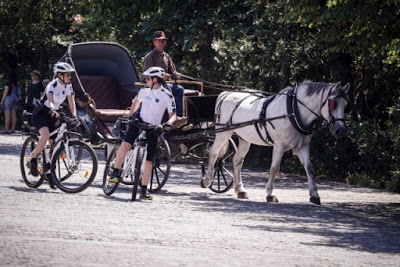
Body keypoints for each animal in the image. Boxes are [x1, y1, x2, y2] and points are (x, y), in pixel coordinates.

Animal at [202, 81, 348, 205]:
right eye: (333, 103)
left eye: (346, 105)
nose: (340, 130)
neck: (293, 111)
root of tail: (226, 94)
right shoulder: (279, 146)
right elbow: (274, 169)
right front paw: (270, 194)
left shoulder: (302, 147)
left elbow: (310, 169)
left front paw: (315, 195)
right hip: (223, 133)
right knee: (214, 153)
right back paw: (207, 180)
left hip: (245, 138)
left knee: (237, 160)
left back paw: (240, 190)